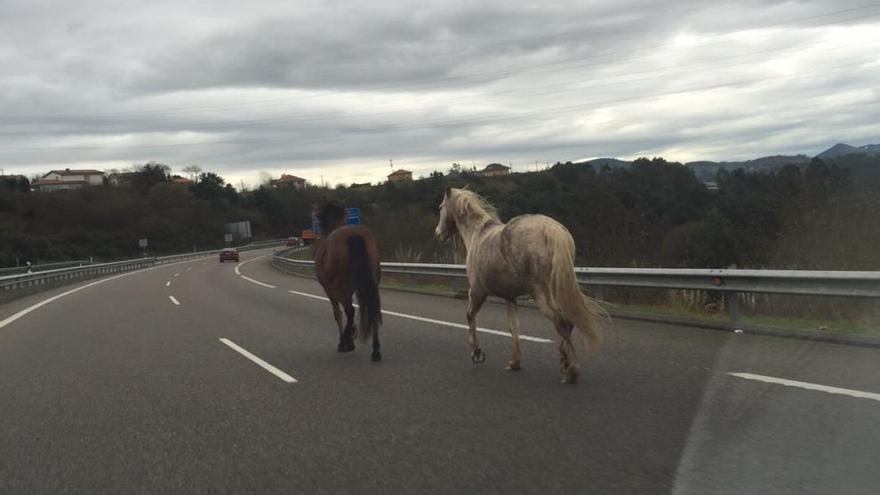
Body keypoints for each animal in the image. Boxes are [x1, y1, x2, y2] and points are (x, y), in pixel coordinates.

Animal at [316, 201, 384, 360]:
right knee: (372, 308)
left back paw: (345, 340)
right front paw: (352, 336)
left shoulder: (330, 290)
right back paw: (375, 350)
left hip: (337, 287)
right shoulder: (350, 289)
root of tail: (353, 234)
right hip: (372, 284)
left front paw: (347, 339)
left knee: (350, 310)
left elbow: (338, 314)